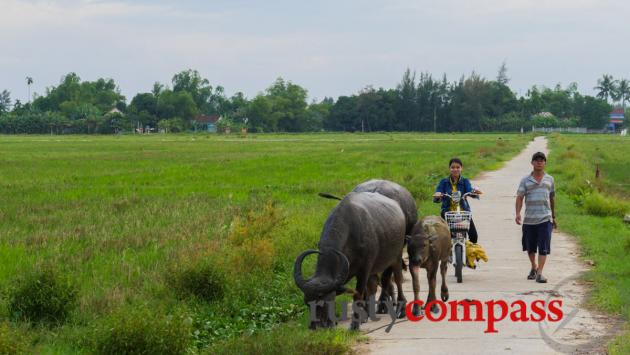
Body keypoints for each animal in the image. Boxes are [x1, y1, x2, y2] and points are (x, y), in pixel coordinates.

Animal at [294, 192, 408, 330]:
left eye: (324, 301)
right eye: (307, 302)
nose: (315, 326)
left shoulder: (364, 269)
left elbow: (358, 295)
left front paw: (354, 325)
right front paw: (359, 318)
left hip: (396, 257)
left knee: (397, 280)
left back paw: (401, 310)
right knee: (375, 285)